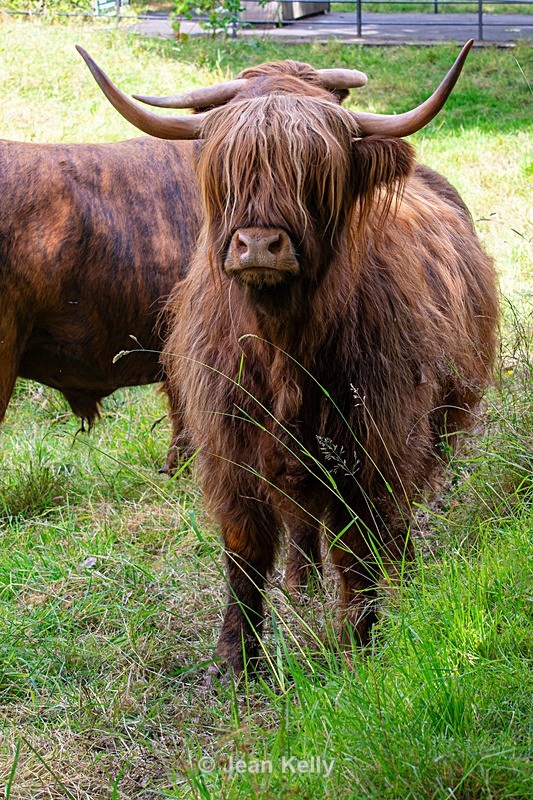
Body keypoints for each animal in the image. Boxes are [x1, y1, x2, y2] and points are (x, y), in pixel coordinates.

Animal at [79, 41, 499, 674]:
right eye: (226, 168)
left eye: (315, 172)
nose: (258, 244)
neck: (282, 348)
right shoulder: (229, 448)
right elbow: (245, 552)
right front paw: (237, 660)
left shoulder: (373, 445)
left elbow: (358, 550)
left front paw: (360, 644)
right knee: (303, 526)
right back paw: (301, 585)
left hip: (433, 431)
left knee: (392, 522)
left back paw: (401, 581)